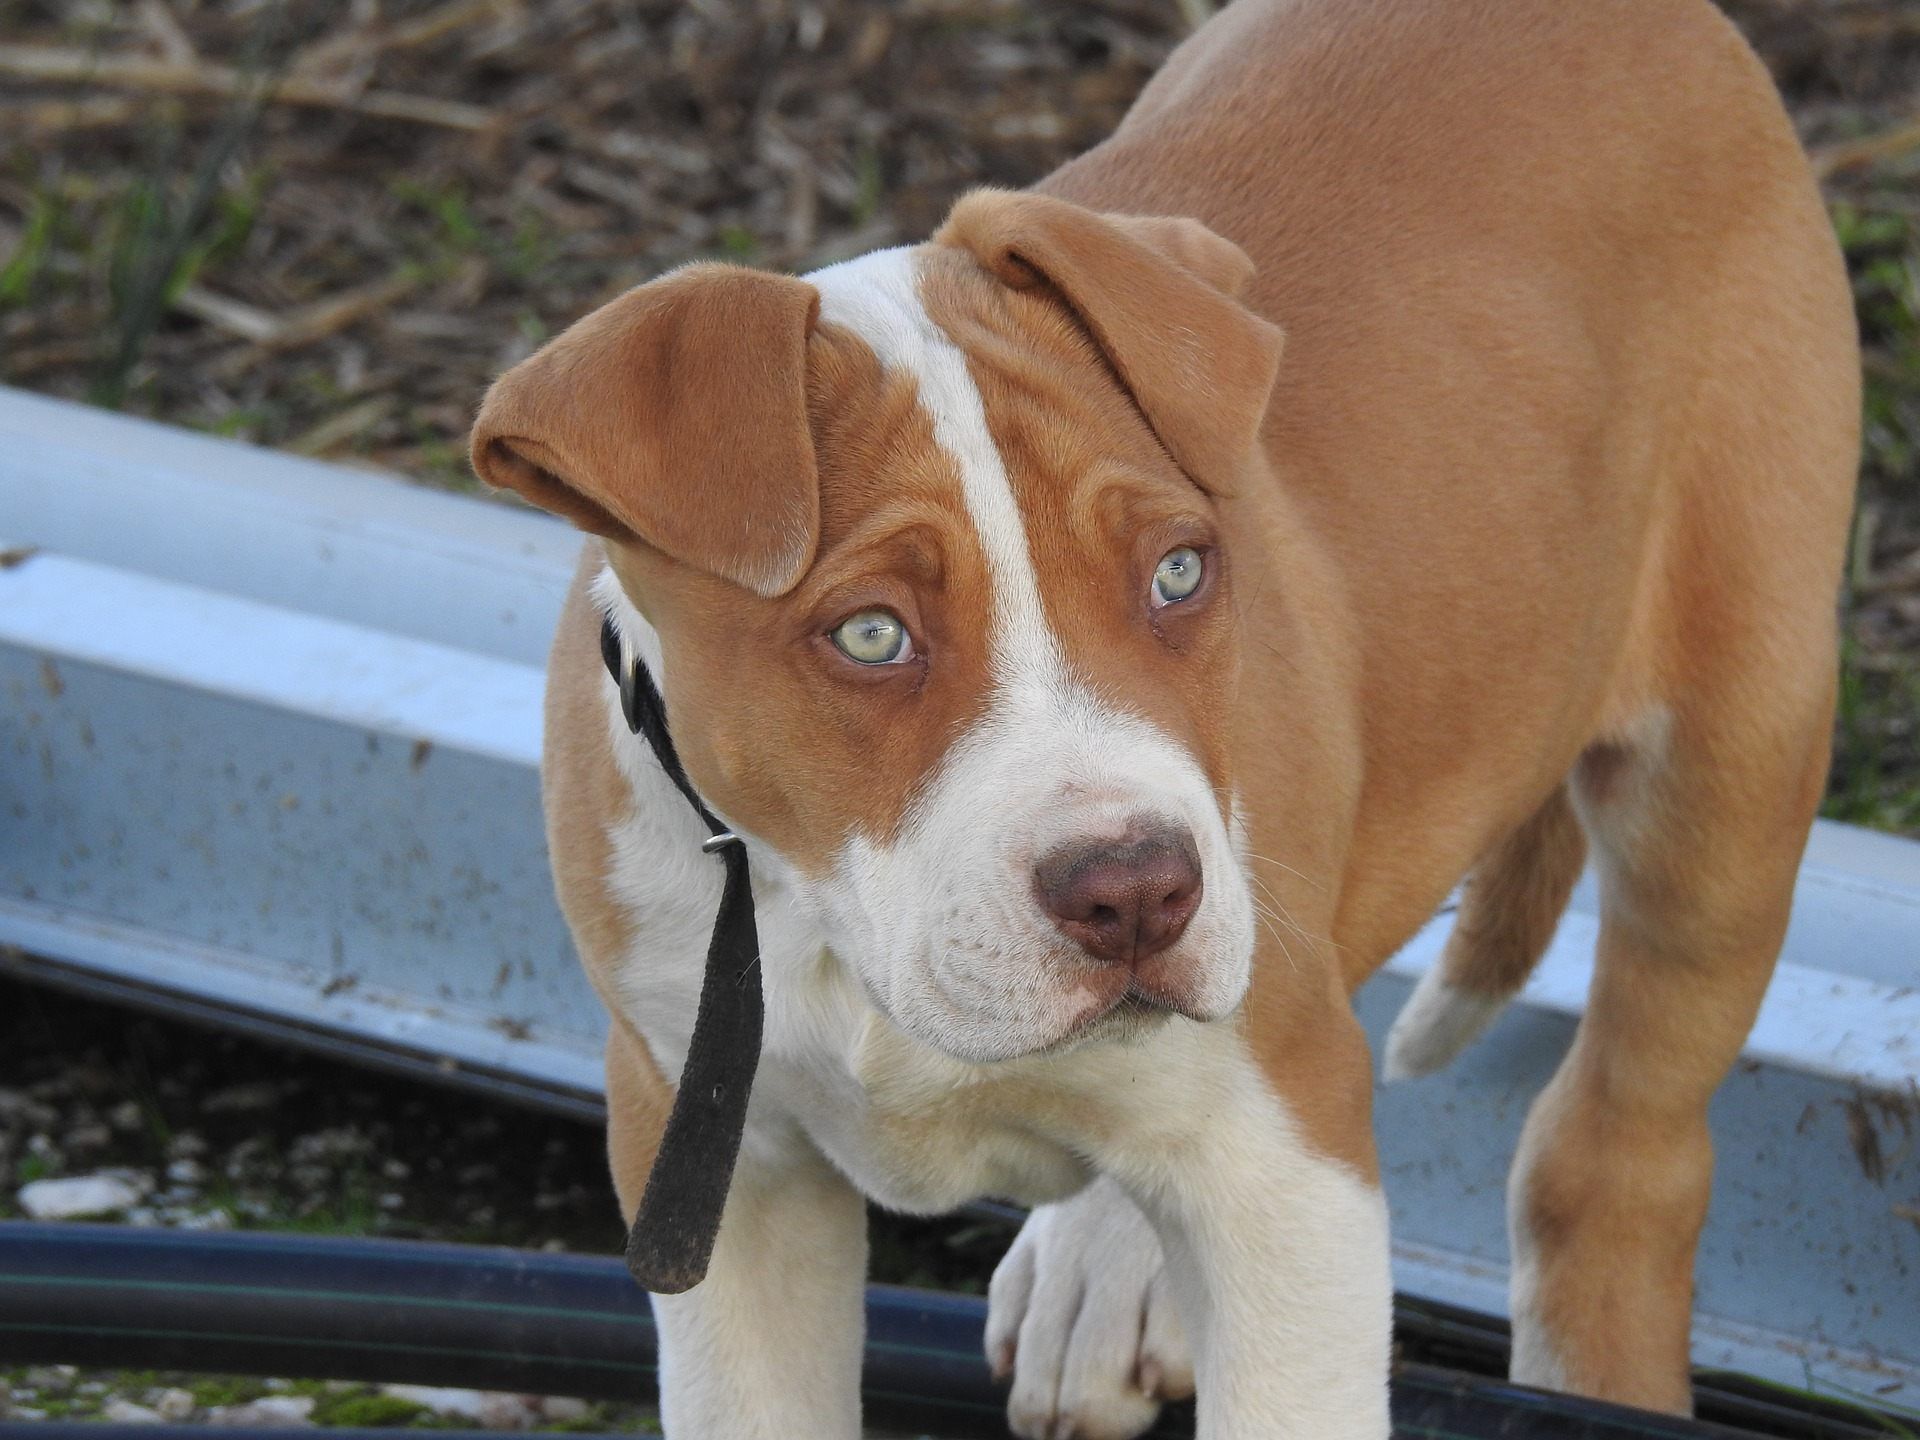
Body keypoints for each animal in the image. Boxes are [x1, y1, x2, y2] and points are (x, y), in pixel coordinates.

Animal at [468, 2, 1858, 1440]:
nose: (1137, 892)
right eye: (871, 635)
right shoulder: (720, 1168)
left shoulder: (1287, 1172)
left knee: (1614, 1149)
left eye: (1180, 572)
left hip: (1723, 764)